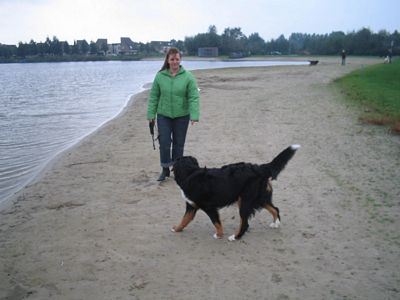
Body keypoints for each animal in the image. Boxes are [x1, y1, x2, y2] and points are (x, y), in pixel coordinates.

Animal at [170, 144, 298, 240]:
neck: (189, 174)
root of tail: (259, 168)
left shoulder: (209, 207)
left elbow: (216, 222)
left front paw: (219, 235)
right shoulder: (191, 206)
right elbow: (185, 219)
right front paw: (177, 228)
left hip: (245, 201)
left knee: (245, 223)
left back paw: (235, 237)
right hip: (260, 198)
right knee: (275, 209)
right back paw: (276, 223)